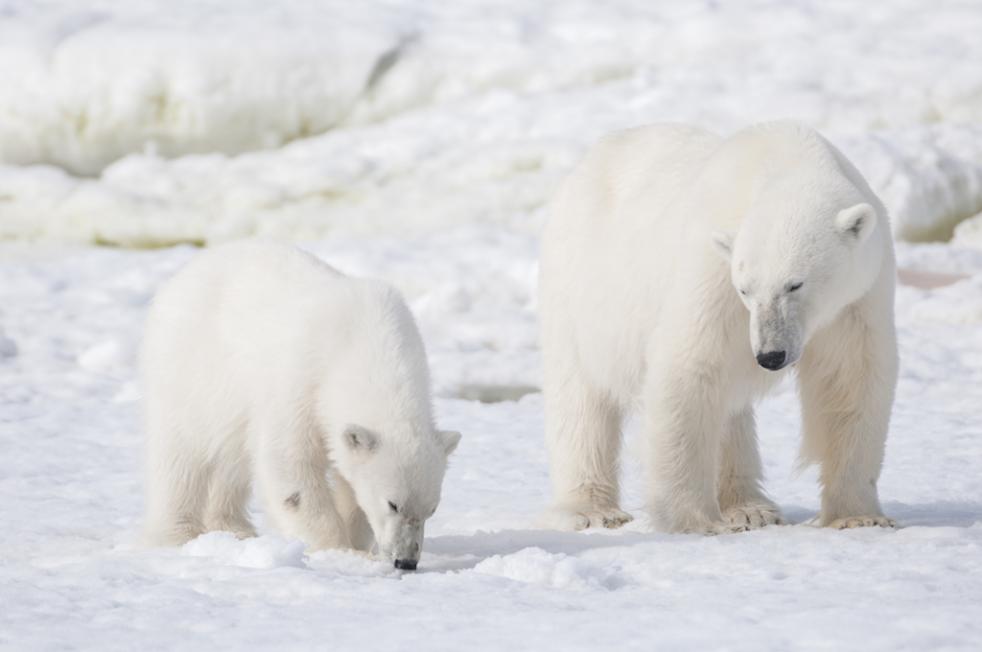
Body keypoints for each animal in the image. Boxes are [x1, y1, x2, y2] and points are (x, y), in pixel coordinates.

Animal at [141, 242, 462, 568]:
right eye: (393, 504)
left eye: (432, 509)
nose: (405, 561)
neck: (366, 343)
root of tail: (183, 273)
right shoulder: (302, 380)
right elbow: (290, 465)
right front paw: (337, 548)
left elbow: (348, 478)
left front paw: (355, 540)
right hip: (191, 367)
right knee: (181, 452)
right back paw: (178, 533)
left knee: (232, 457)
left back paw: (234, 528)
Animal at [540, 122, 904, 536]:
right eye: (746, 289)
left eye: (795, 284)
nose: (771, 355)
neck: (781, 160)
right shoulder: (711, 270)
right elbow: (689, 367)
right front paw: (694, 521)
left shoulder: (861, 293)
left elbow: (851, 377)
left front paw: (859, 516)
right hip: (580, 288)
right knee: (581, 398)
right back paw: (589, 510)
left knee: (730, 412)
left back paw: (750, 508)